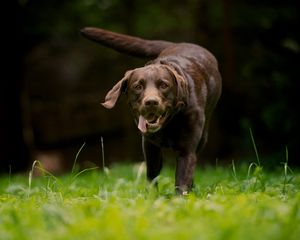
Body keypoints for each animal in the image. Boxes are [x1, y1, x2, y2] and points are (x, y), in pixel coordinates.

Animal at [81, 27, 221, 194]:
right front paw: (152, 195)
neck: (168, 124)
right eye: (138, 86)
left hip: (203, 136)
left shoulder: (187, 150)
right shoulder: (149, 146)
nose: (151, 102)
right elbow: (152, 175)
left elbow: (182, 180)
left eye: (164, 85)